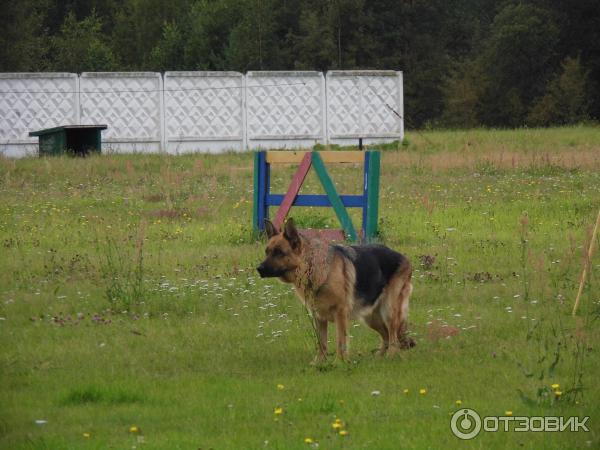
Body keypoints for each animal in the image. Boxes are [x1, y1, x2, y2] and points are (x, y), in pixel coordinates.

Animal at [255, 218, 414, 362]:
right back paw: (379, 358)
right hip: (370, 317)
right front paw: (319, 363)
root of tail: (403, 257)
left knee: (393, 337)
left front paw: (339, 362)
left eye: (279, 252)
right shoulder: (318, 317)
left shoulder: (340, 313)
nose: (259, 269)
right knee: (386, 335)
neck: (311, 266)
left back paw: (390, 357)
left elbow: (340, 342)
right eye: (267, 252)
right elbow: (321, 343)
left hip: (388, 311)